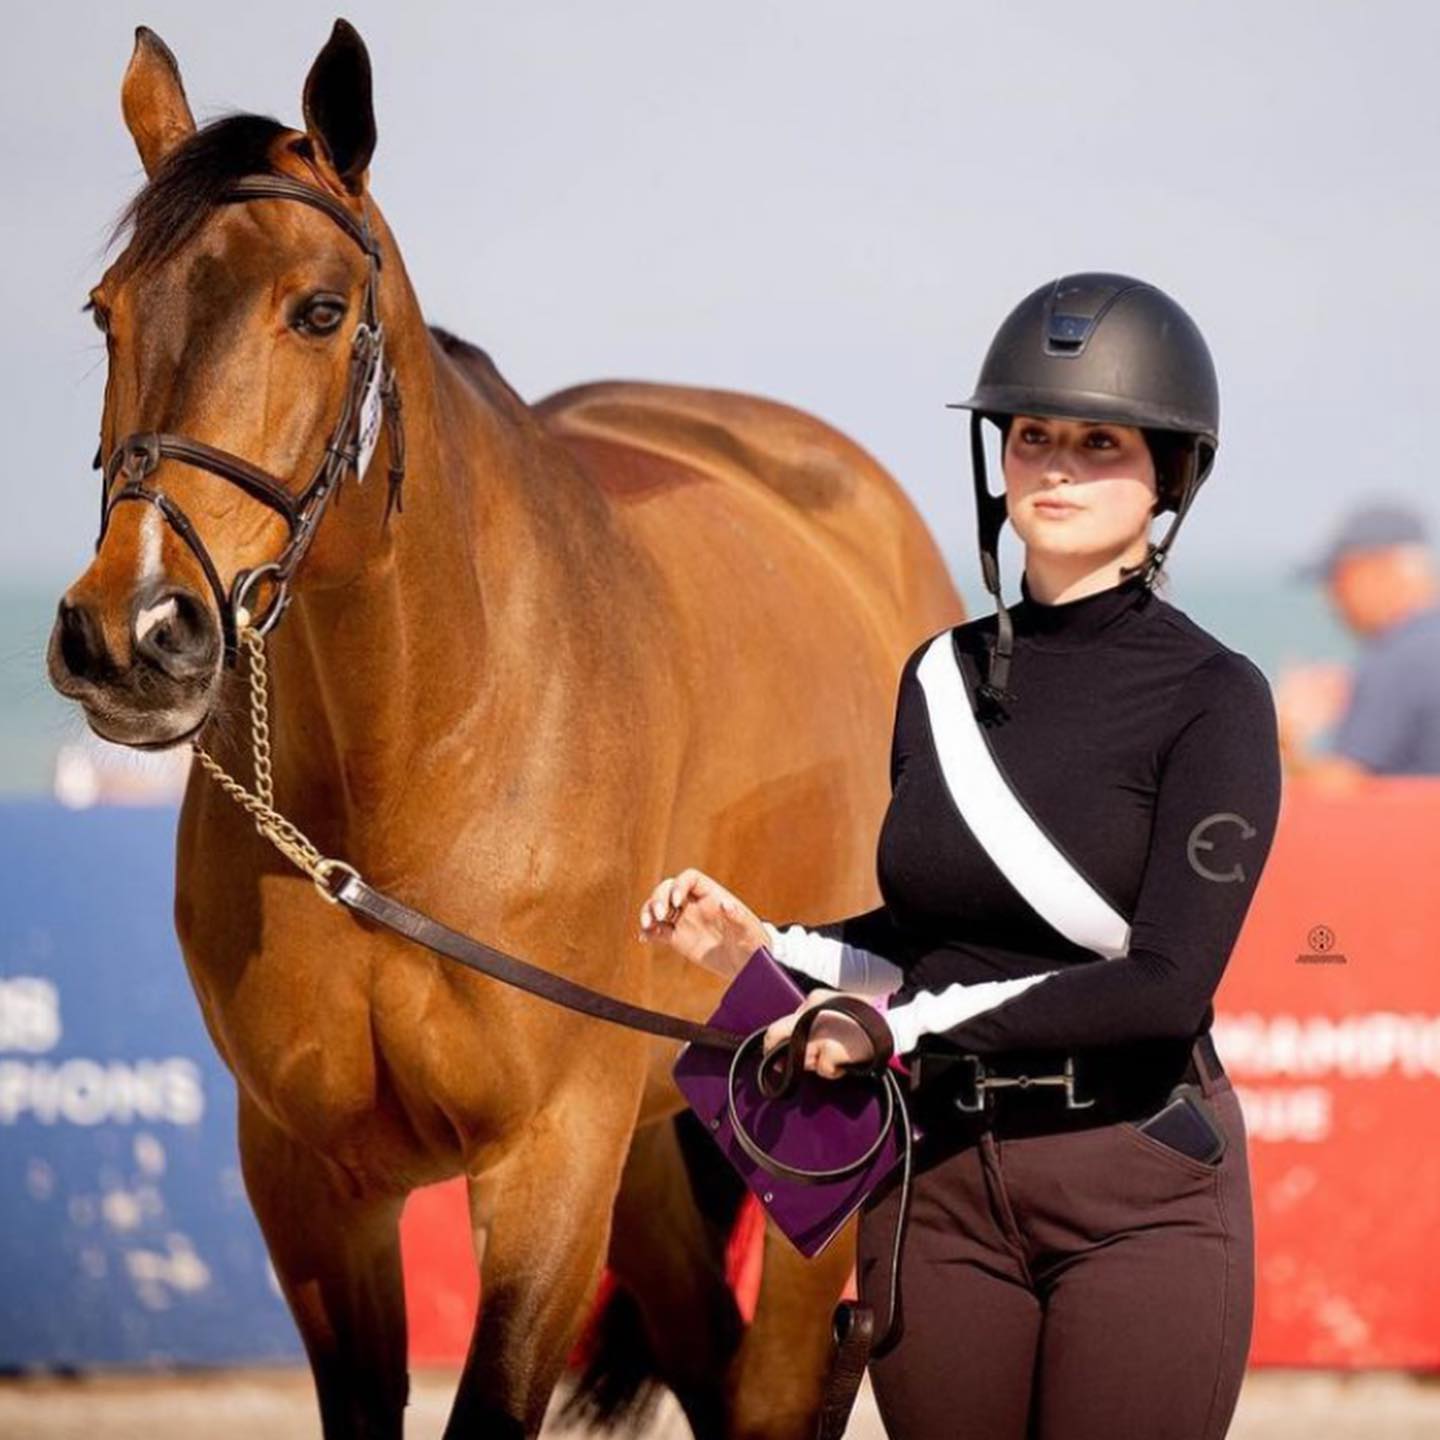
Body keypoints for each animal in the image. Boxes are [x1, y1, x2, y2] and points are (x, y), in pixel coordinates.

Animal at [50, 22, 961, 1440]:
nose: (132, 634)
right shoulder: (310, 1182)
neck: (414, 763)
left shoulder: (549, 1163)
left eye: (320, 311)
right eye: (108, 312)